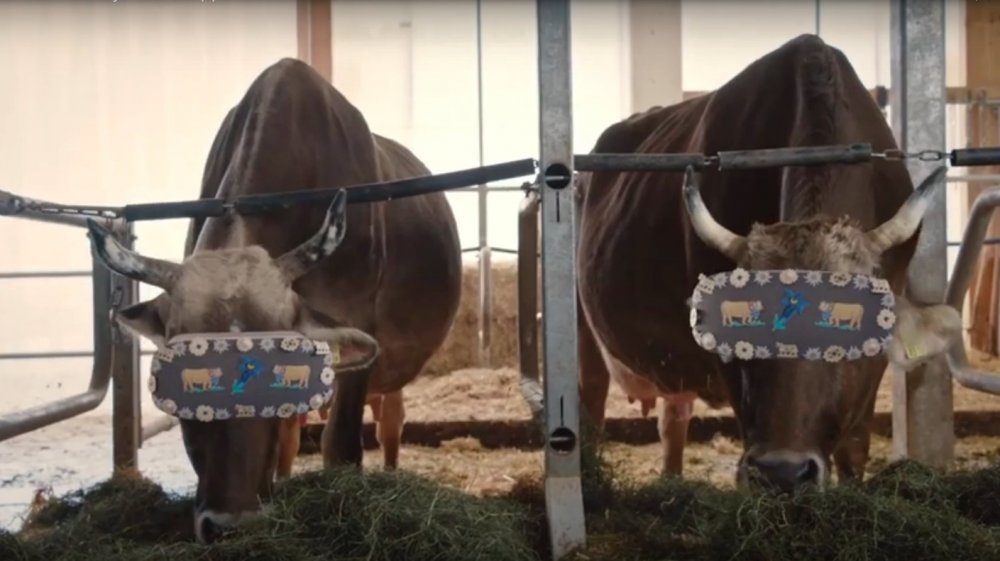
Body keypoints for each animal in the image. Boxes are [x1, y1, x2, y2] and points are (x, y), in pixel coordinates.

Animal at [85, 58, 462, 543]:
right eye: (179, 388)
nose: (230, 526)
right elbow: (286, 437)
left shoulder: (355, 320)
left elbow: (341, 446)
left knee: (391, 422)